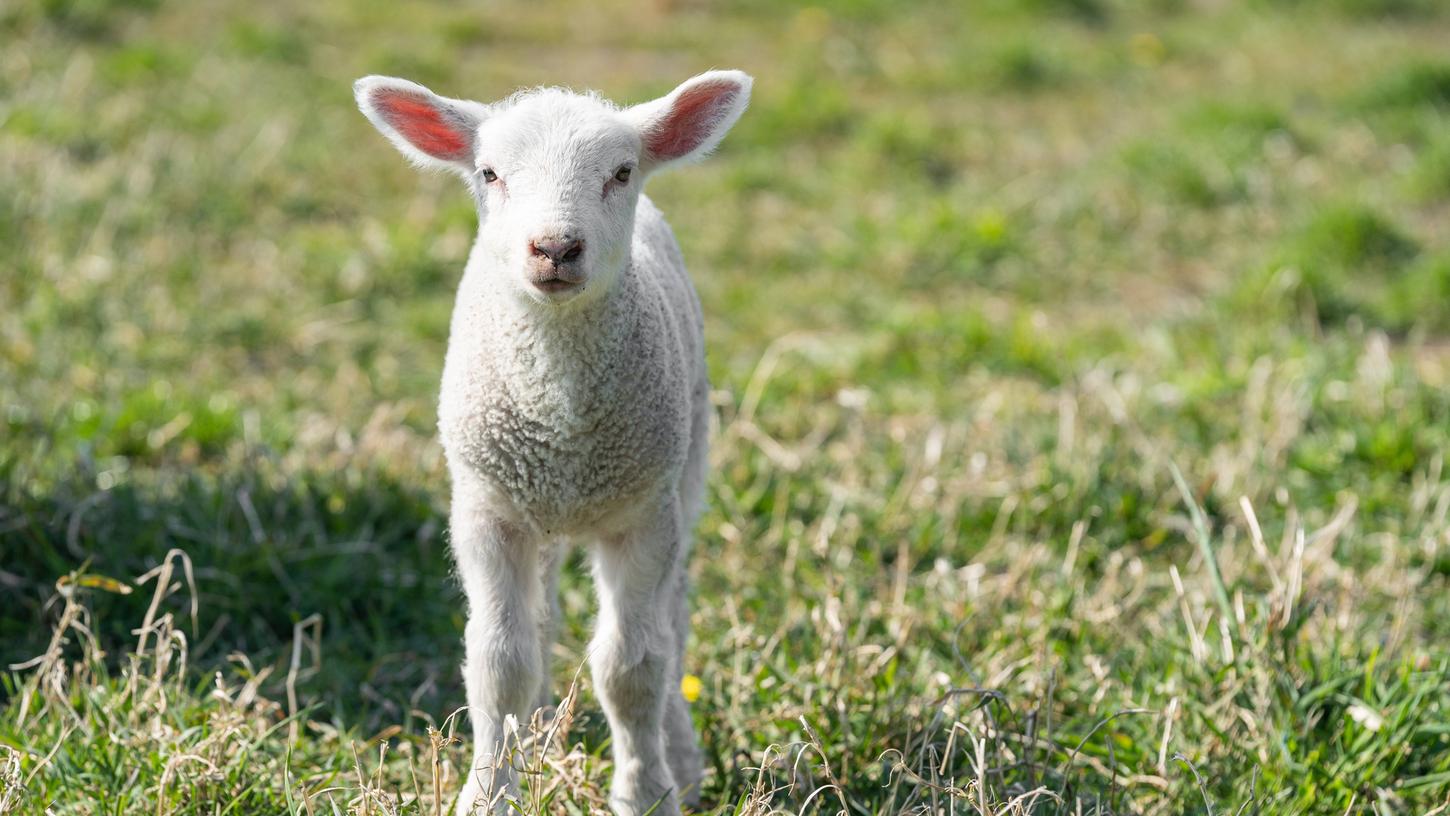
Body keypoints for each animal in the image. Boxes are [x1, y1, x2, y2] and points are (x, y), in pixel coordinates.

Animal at [355, 70, 754, 816]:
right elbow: (500, 663)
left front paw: (646, 792)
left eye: (621, 172)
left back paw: (681, 759)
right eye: (489, 173)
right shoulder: (488, 511)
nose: (556, 249)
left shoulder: (641, 514)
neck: (560, 422)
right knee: (539, 626)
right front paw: (489, 792)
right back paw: (538, 733)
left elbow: (632, 666)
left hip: (685, 471)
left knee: (672, 624)